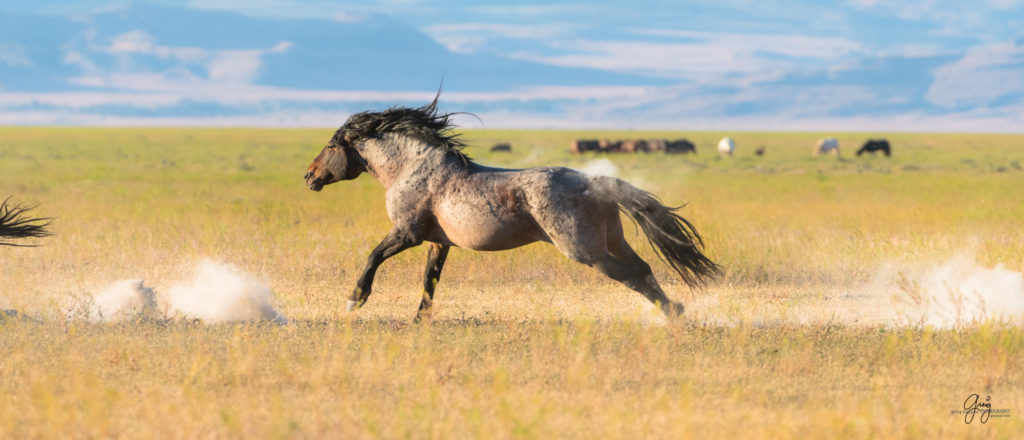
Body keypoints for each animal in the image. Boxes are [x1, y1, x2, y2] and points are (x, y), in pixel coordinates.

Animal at [305, 97, 720, 321]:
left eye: (332, 146)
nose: (309, 177)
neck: (412, 168)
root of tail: (597, 182)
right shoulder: (439, 243)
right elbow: (429, 282)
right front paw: (419, 321)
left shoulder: (407, 233)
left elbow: (374, 256)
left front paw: (354, 300)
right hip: (612, 241)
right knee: (643, 268)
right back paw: (674, 311)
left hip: (585, 251)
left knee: (631, 276)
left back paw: (672, 315)